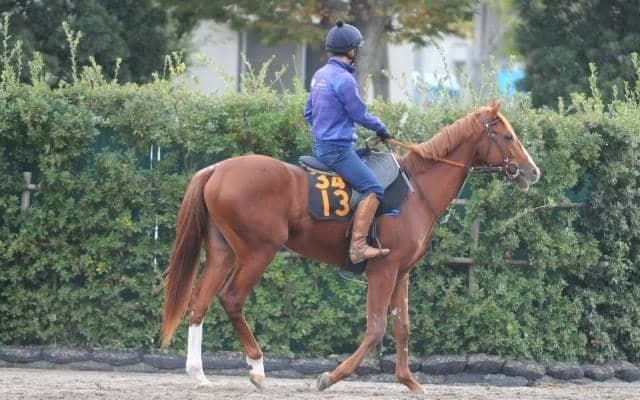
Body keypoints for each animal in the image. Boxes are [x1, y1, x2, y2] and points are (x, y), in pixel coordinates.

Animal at [160, 101, 540, 393]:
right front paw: (331, 376)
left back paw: (199, 374)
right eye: (507, 135)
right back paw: (257, 368)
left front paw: (409, 381)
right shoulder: (383, 270)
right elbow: (376, 328)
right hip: (257, 252)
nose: (533, 171)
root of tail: (217, 169)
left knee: (200, 303)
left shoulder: (402, 272)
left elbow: (402, 327)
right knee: (231, 298)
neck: (416, 191)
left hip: (223, 252)